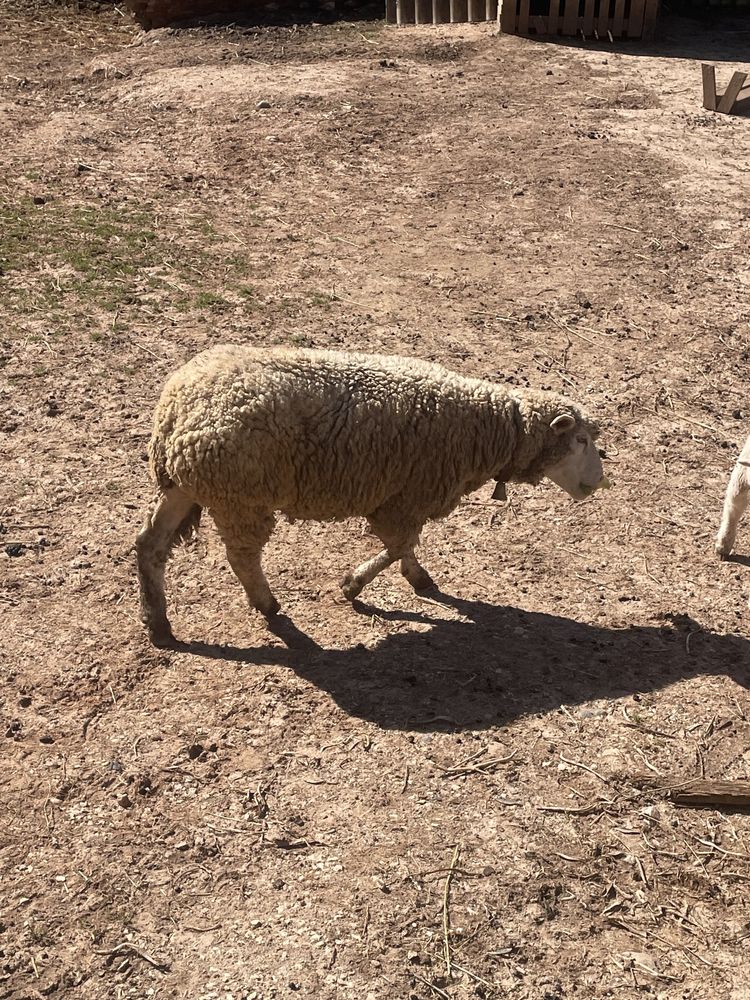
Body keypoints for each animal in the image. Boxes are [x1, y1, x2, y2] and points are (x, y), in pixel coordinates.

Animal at [137, 346, 612, 648]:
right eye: (581, 440)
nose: (597, 484)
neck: (492, 425)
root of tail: (176, 408)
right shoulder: (408, 496)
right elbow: (400, 544)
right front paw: (354, 585)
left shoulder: (403, 496)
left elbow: (403, 546)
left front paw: (415, 578)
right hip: (241, 497)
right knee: (241, 558)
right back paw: (267, 604)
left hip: (186, 485)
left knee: (150, 545)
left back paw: (158, 622)